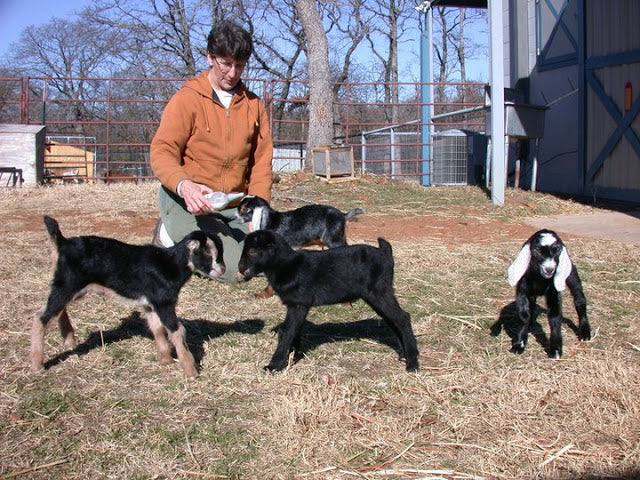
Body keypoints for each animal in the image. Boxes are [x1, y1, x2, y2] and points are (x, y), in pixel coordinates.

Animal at [30, 217, 225, 378]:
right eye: (209, 254)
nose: (222, 269)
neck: (171, 264)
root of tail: (62, 243)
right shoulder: (164, 302)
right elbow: (178, 331)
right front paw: (191, 372)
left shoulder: (150, 305)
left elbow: (157, 329)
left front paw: (166, 360)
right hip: (68, 285)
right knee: (41, 316)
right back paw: (37, 365)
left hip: (70, 288)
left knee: (58, 309)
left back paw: (69, 340)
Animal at [236, 231, 420, 374]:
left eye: (253, 251)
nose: (240, 267)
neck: (286, 265)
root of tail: (385, 253)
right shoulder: (299, 306)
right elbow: (295, 330)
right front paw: (293, 357)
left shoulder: (298, 303)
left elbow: (287, 331)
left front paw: (274, 365)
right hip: (376, 296)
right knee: (392, 320)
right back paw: (403, 355)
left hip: (379, 292)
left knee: (402, 318)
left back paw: (412, 363)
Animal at [504, 230, 592, 360]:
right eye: (536, 251)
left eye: (558, 251)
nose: (550, 269)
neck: (539, 278)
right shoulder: (522, 291)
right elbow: (523, 315)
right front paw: (519, 344)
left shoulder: (553, 292)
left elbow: (554, 317)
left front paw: (555, 350)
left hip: (571, 275)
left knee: (579, 299)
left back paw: (585, 332)